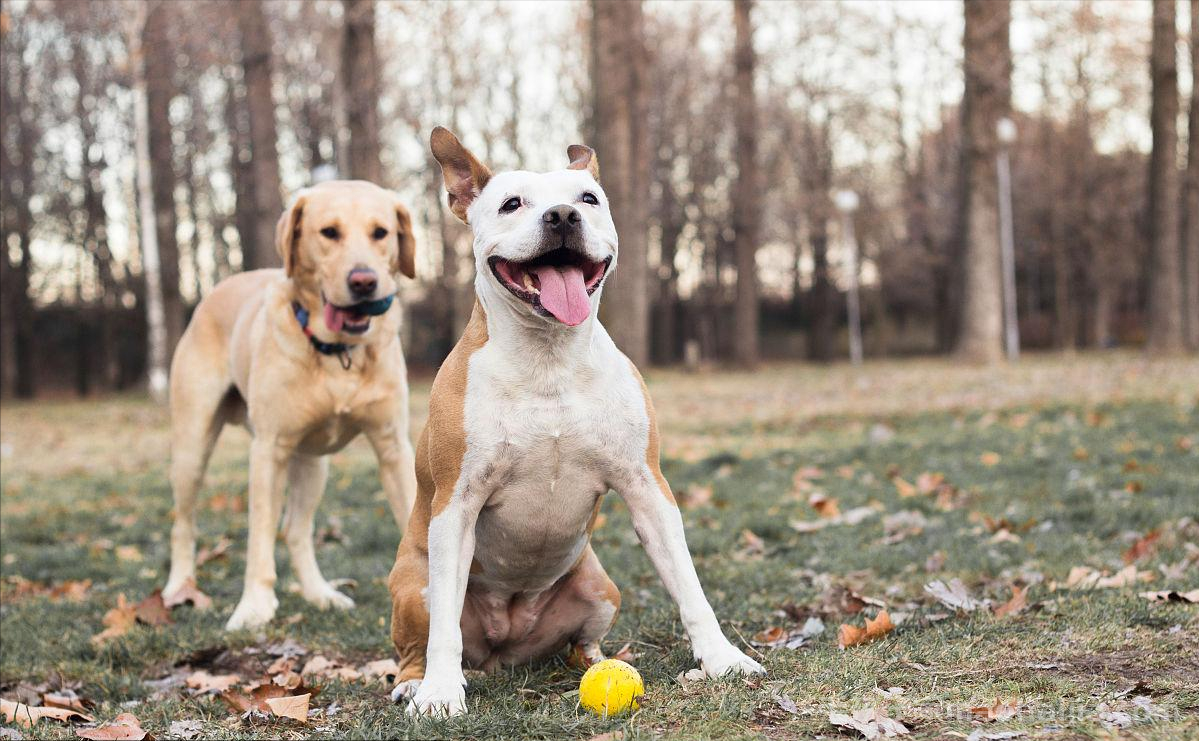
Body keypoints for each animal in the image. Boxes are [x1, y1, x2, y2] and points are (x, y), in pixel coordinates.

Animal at [166, 178, 422, 628]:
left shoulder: (393, 445)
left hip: (313, 463)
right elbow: (258, 537)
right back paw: (178, 588)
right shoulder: (269, 450)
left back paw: (320, 593)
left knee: (297, 530)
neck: (338, 352)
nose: (363, 282)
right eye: (329, 232)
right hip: (192, 448)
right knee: (184, 525)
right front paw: (254, 605)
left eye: (381, 232)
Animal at [388, 130, 762, 714]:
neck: (550, 358)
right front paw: (440, 692)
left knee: (579, 642)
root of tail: (504, 644)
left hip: (600, 588)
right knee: (419, 639)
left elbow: (689, 585)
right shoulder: (456, 503)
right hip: (413, 585)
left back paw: (598, 664)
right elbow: (443, 627)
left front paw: (722, 660)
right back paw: (412, 680)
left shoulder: (647, 487)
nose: (563, 215)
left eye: (588, 199)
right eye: (511, 203)